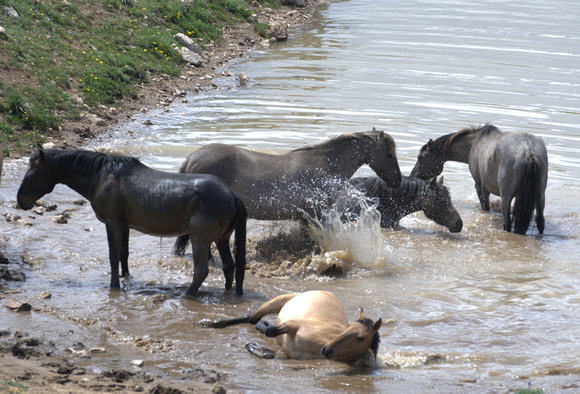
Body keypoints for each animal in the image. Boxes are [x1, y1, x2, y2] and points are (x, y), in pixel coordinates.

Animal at [15, 148, 247, 296]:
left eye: (33, 175)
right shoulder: (124, 224)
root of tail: (231, 194)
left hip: (200, 239)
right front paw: (125, 277)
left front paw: (114, 285)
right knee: (229, 266)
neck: (101, 176)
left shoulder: (112, 223)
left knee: (201, 271)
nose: (20, 201)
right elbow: (124, 254)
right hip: (221, 237)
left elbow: (113, 256)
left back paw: (187, 295)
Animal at [204, 290, 380, 362]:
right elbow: (270, 331)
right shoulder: (293, 324)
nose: (327, 349)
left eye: (360, 337)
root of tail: (328, 292)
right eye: (348, 327)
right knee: (252, 318)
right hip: (276, 302)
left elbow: (269, 353)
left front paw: (254, 346)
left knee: (253, 321)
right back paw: (213, 323)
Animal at [410, 123, 548, 234]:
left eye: (421, 157)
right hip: (540, 194)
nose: (413, 176)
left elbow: (485, 208)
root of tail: (528, 151)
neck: (474, 143)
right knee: (540, 220)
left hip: (506, 196)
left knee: (507, 222)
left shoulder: (480, 187)